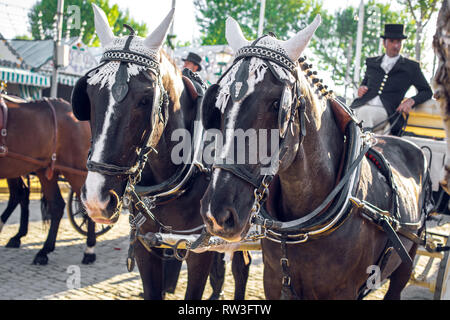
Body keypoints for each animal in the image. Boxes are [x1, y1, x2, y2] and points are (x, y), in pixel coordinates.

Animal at [72, 3, 251, 300]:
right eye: (89, 94)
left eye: (145, 99)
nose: (97, 200)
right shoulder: (146, 246)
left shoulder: (199, 249)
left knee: (241, 267)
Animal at [199, 15, 430, 300]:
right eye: (220, 102)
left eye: (276, 104)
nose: (216, 214)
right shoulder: (274, 282)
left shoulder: (343, 291)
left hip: (405, 263)